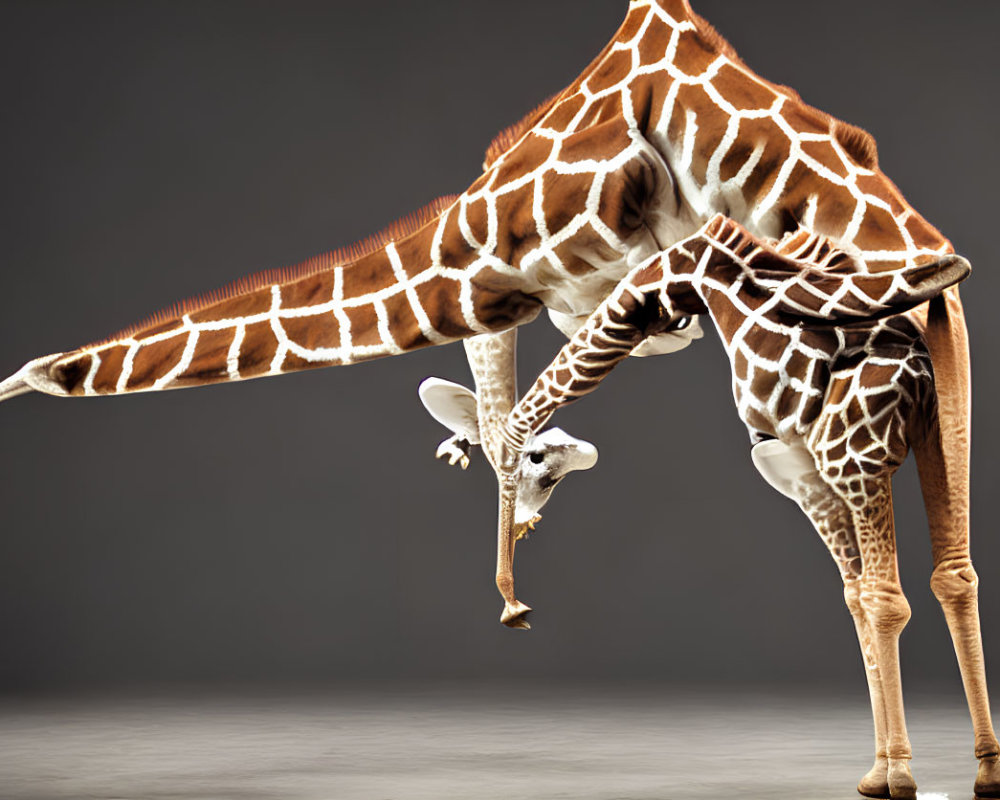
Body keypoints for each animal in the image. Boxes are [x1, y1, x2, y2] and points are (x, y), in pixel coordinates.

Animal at [492, 214, 976, 800]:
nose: (514, 608)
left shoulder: (825, 467)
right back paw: (982, 769)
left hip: (862, 462)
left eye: (642, 308)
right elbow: (857, 596)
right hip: (939, 433)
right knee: (953, 575)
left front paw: (893, 774)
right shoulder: (813, 472)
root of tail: (918, 373)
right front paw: (877, 773)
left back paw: (908, 776)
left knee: (891, 596)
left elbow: (871, 598)